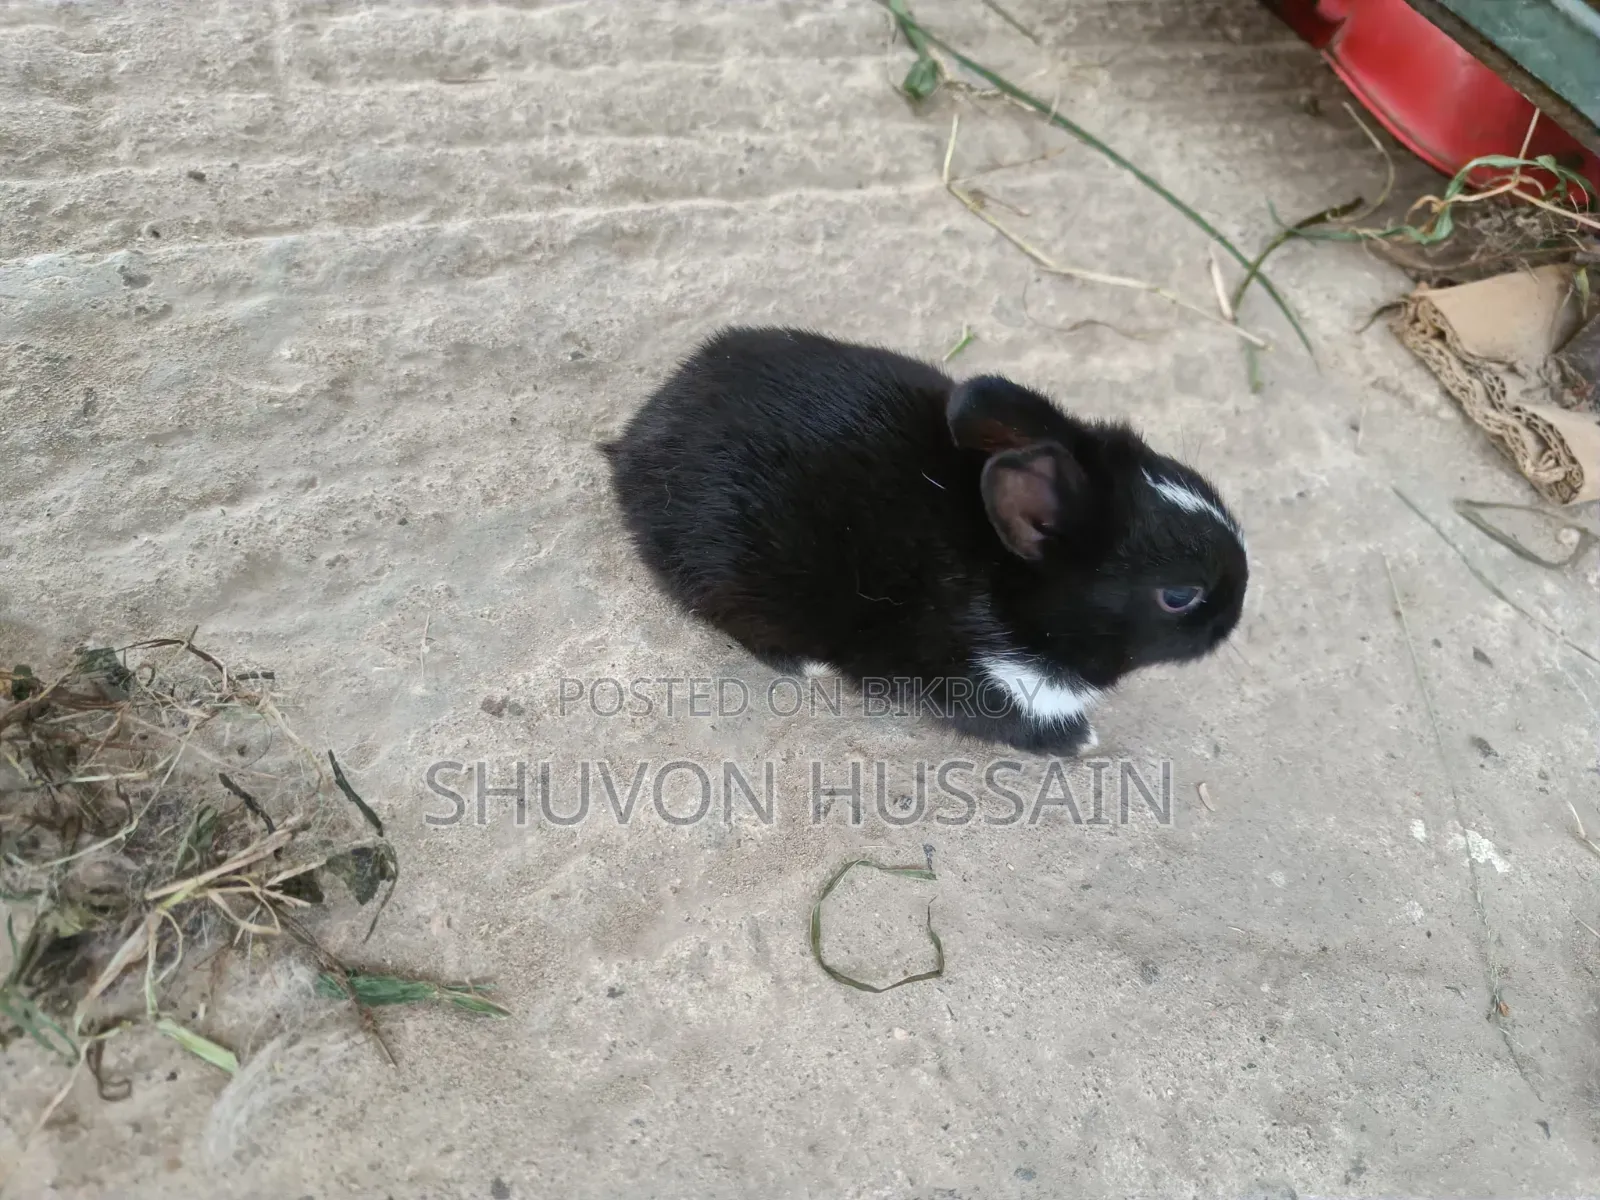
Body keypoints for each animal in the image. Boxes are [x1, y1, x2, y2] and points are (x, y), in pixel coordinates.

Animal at [601, 327, 1247, 756]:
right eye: (1179, 596)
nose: (1236, 611)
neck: (1005, 583)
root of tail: (633, 446)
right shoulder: (987, 681)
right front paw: (1081, 741)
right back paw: (806, 665)